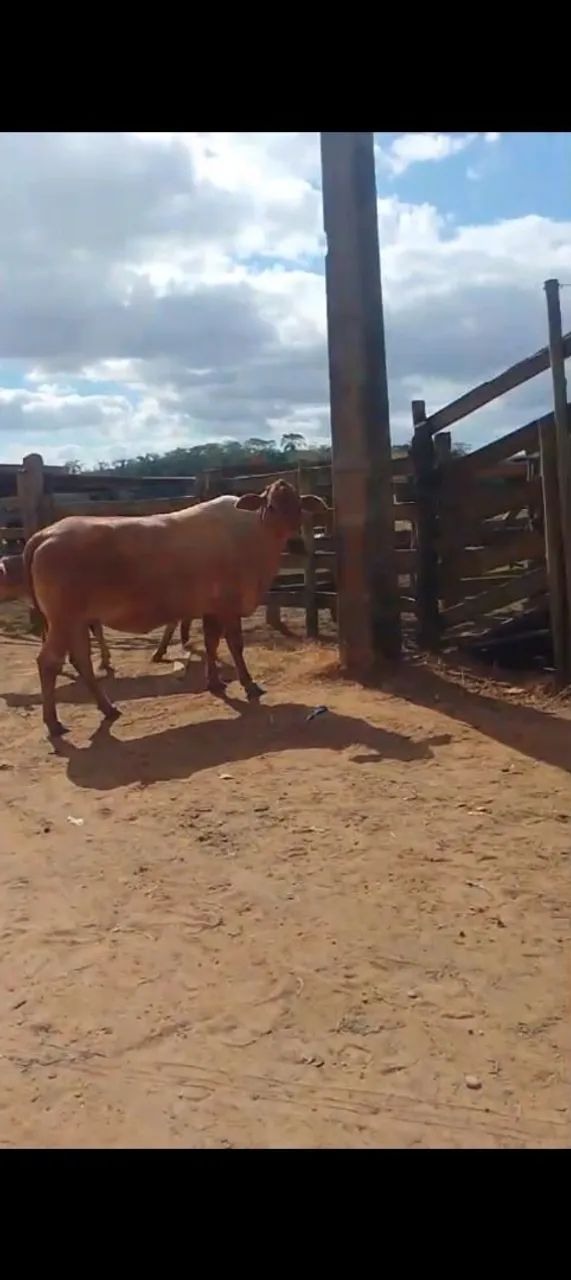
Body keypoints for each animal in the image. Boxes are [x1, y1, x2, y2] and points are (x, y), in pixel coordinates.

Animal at [24, 480, 326, 736]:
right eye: (271, 505)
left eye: (299, 506)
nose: (296, 539)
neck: (251, 535)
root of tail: (45, 533)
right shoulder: (228, 605)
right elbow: (235, 645)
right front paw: (250, 685)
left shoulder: (210, 608)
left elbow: (211, 643)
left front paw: (215, 682)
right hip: (62, 619)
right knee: (48, 662)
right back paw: (54, 723)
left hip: (76, 621)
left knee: (82, 660)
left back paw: (108, 708)